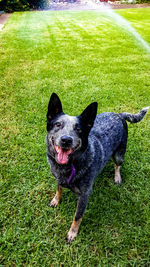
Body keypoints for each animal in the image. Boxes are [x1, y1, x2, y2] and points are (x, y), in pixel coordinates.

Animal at [46, 93, 149, 244]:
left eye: (78, 129)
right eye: (58, 124)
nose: (66, 140)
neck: (68, 166)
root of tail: (119, 114)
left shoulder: (84, 196)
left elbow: (77, 216)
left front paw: (72, 233)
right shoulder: (59, 178)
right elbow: (59, 189)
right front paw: (56, 200)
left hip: (119, 154)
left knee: (117, 165)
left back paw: (117, 177)